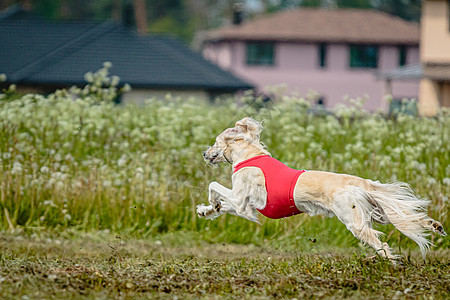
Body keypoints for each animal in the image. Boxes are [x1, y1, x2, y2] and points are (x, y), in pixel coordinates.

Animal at [197, 116, 446, 262]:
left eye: (215, 142)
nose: (204, 153)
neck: (250, 155)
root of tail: (358, 182)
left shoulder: (241, 200)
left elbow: (213, 185)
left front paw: (211, 203)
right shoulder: (246, 208)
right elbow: (222, 205)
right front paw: (207, 210)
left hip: (354, 220)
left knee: (380, 243)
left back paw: (391, 262)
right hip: (378, 211)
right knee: (407, 217)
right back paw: (434, 225)